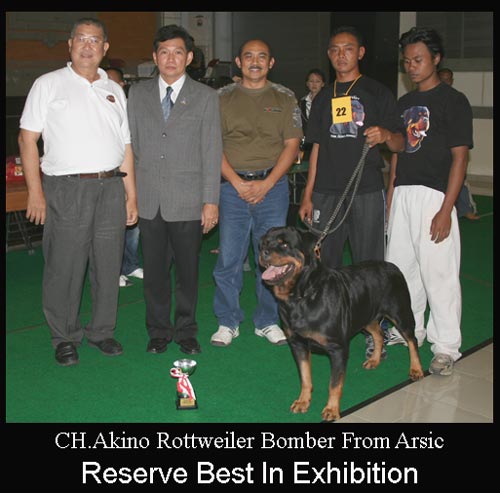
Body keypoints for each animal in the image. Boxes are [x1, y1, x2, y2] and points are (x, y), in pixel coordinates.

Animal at [259, 226, 424, 422]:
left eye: (284, 244)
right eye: (266, 243)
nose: (263, 251)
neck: (301, 296)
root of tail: (392, 265)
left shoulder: (338, 348)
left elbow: (334, 384)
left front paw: (331, 410)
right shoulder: (298, 344)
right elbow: (305, 377)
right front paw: (303, 401)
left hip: (400, 312)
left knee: (412, 339)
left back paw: (416, 369)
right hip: (365, 315)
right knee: (378, 334)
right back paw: (374, 360)